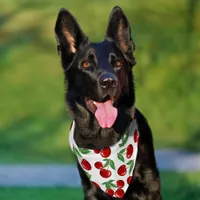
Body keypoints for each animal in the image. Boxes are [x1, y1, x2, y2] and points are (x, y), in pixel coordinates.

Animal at [54, 5, 162, 199]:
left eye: (117, 63)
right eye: (86, 64)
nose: (109, 82)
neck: (104, 141)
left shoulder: (150, 185)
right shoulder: (90, 190)